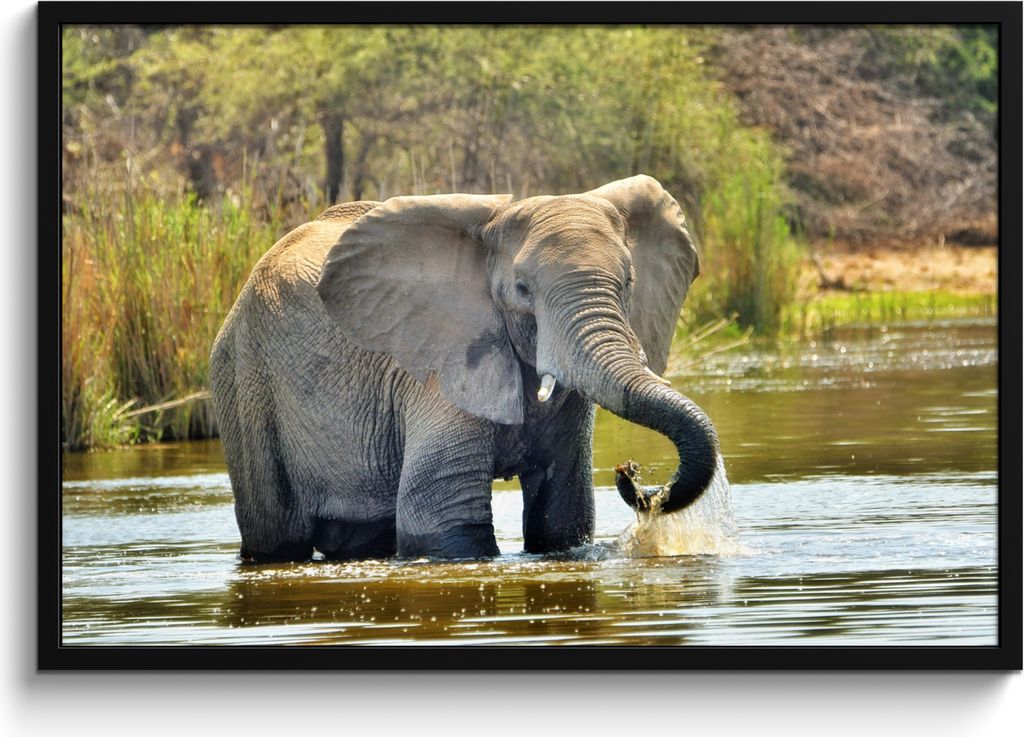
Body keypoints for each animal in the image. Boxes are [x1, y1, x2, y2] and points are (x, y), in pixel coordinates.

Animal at [209, 174, 720, 562]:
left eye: (629, 282)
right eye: (522, 289)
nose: (630, 474)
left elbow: (562, 516)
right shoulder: (438, 366)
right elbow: (441, 518)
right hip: (244, 379)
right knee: (275, 535)